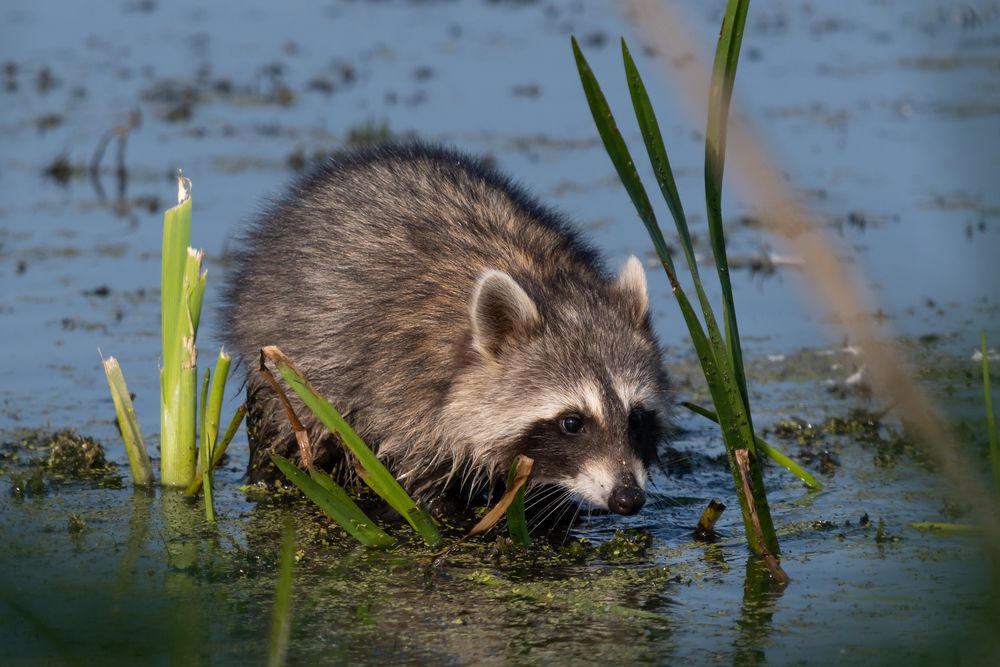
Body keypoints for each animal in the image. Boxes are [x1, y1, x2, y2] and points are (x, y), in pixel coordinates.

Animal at [223, 142, 668, 516]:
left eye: (636, 418)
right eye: (572, 423)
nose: (628, 498)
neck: (543, 278)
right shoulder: (402, 392)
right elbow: (421, 486)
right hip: (282, 363)